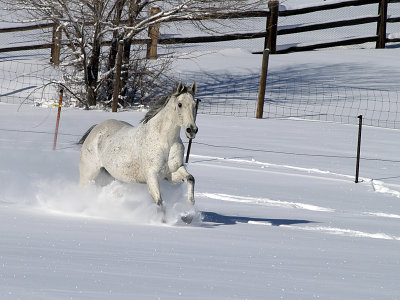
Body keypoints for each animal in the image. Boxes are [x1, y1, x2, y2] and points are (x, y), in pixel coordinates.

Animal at [78, 82, 198, 223]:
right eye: (180, 104)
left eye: (194, 104)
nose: (192, 130)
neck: (165, 142)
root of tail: (95, 129)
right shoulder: (151, 176)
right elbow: (159, 201)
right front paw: (164, 223)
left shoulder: (172, 173)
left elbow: (190, 179)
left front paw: (187, 216)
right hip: (89, 174)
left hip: (110, 176)